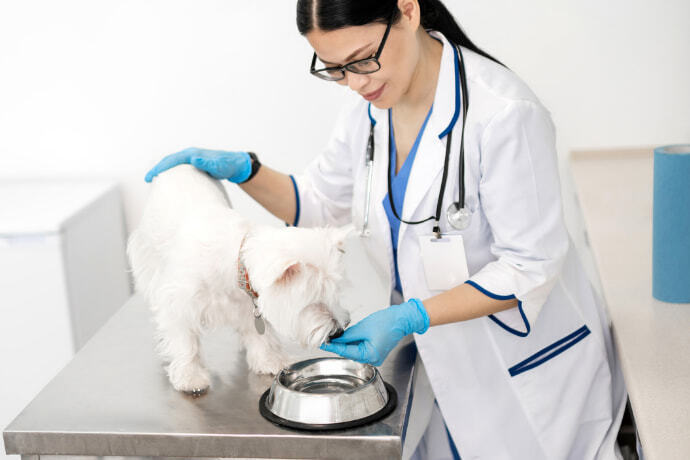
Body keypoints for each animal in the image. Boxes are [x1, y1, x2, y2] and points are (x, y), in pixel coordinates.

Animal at [126, 164, 350, 394]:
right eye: (314, 300)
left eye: (335, 293)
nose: (338, 331)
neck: (236, 264)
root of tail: (181, 164)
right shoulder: (179, 302)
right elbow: (185, 340)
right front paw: (190, 376)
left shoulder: (248, 306)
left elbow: (260, 335)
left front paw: (269, 360)